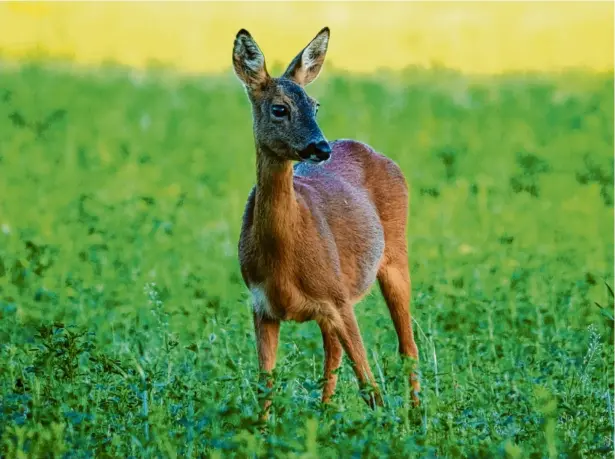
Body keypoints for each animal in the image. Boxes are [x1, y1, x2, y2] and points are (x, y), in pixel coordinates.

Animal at [233, 26, 422, 416]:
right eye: (280, 108)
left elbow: (370, 387)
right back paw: (325, 414)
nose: (320, 148)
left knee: (407, 347)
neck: (283, 257)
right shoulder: (261, 305)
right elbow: (265, 387)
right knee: (332, 356)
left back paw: (416, 415)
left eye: (315, 105)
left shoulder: (338, 299)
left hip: (396, 255)